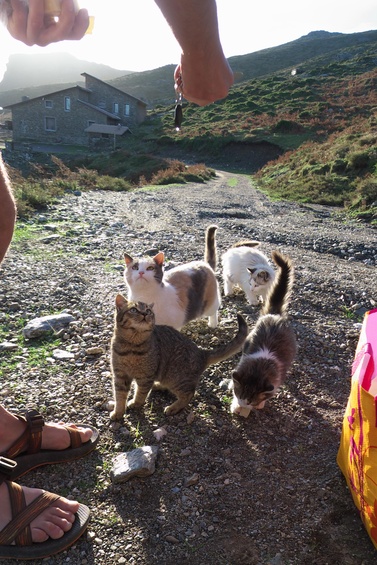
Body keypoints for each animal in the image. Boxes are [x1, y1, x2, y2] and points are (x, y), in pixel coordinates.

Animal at [108, 296, 247, 418]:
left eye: (148, 311)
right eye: (133, 310)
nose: (144, 314)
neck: (131, 345)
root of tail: (201, 352)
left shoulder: (145, 377)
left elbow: (140, 394)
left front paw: (135, 404)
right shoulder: (120, 375)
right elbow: (119, 396)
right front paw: (118, 412)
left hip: (177, 379)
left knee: (189, 394)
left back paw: (174, 407)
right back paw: (157, 386)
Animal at [229, 250, 296, 414]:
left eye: (252, 400)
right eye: (240, 395)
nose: (243, 404)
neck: (259, 368)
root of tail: (275, 314)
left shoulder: (276, 379)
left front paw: (259, 404)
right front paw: (235, 404)